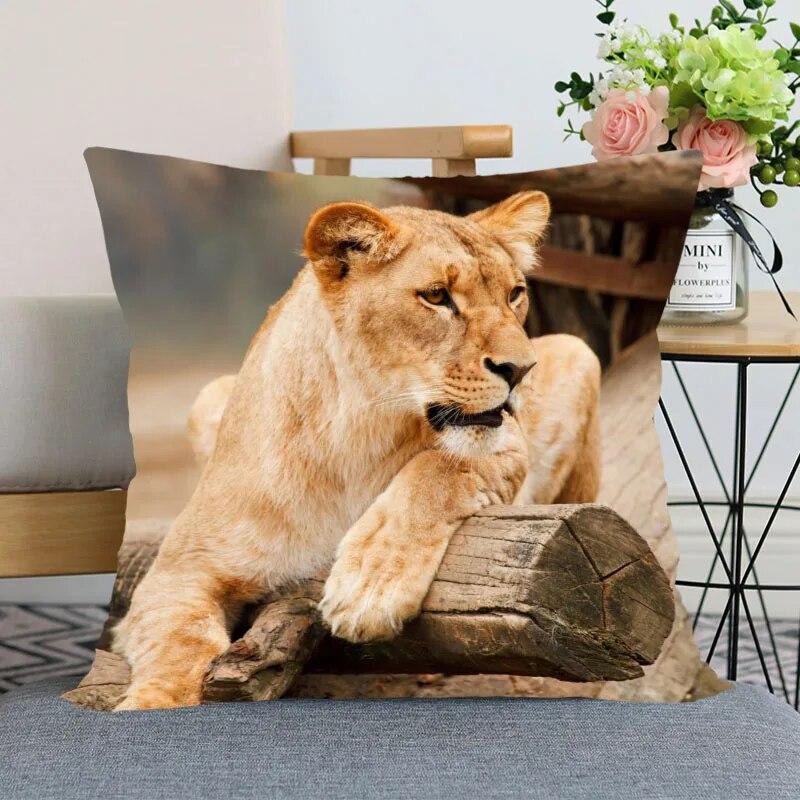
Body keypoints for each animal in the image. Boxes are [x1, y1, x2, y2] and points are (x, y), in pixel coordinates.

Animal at [113, 191, 601, 710]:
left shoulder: (505, 444)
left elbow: (437, 469)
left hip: (577, 351)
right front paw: (153, 704)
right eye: (436, 296)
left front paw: (370, 586)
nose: (522, 370)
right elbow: (178, 646)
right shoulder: (180, 571)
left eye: (514, 294)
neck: (358, 434)